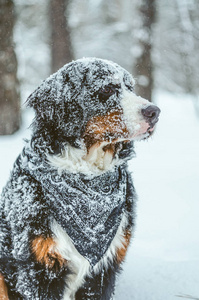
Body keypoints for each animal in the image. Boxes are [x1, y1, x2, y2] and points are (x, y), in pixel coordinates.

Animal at [0, 57, 160, 298]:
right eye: (107, 88)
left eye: (130, 87)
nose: (154, 111)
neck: (87, 176)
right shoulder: (37, 267)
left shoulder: (105, 268)